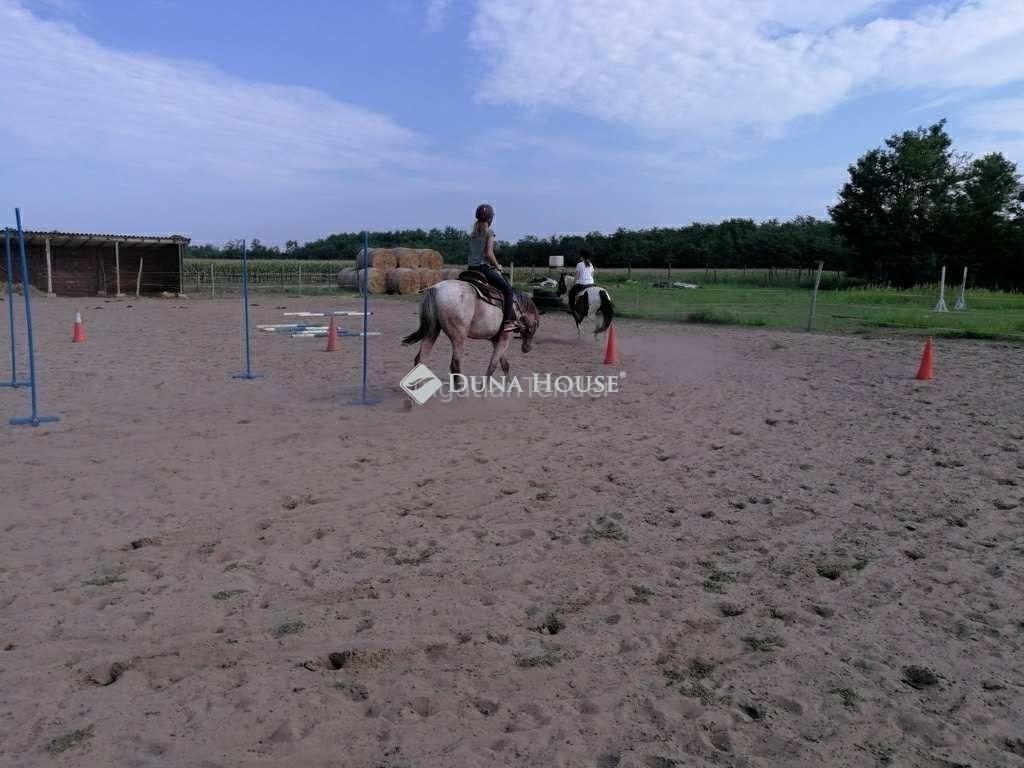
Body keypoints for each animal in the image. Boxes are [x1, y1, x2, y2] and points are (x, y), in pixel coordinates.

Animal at [402, 274, 540, 378]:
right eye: (535, 327)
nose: (528, 348)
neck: (516, 307)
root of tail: (435, 289)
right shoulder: (504, 338)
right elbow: (492, 366)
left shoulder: (496, 339)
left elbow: (505, 364)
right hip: (458, 337)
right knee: (455, 366)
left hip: (432, 330)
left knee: (420, 359)